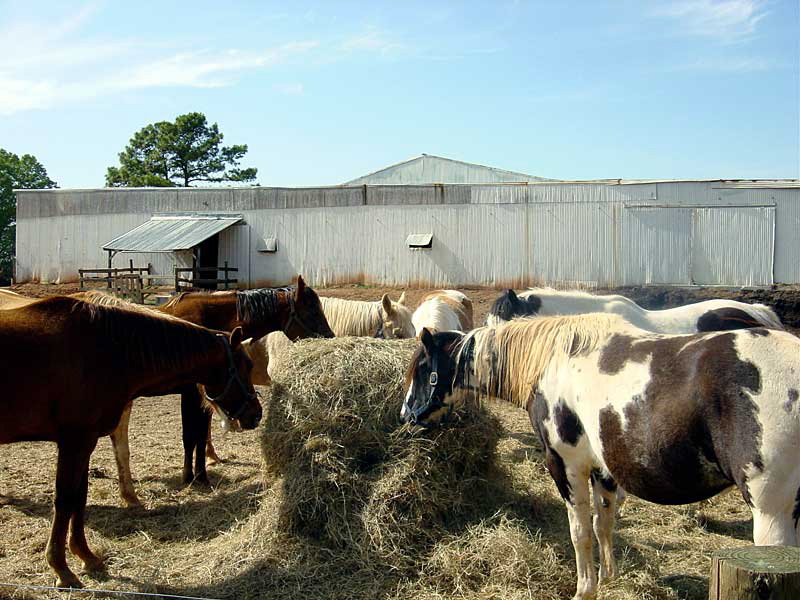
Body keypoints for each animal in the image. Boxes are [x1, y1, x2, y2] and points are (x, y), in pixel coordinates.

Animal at [0, 298, 262, 588]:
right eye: (247, 365)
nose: (256, 413)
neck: (106, 350)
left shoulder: (86, 443)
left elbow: (80, 498)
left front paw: (86, 556)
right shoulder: (74, 441)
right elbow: (65, 499)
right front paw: (61, 568)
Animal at [404, 318, 800, 600]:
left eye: (423, 369)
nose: (408, 415)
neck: (555, 362)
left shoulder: (567, 466)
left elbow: (580, 532)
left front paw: (585, 589)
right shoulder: (605, 469)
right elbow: (603, 524)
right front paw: (610, 576)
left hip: (771, 515)